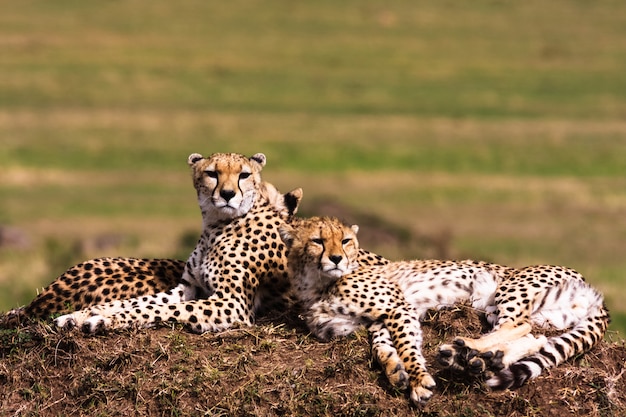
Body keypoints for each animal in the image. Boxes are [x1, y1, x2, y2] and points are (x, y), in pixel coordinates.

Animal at [280, 216, 608, 402]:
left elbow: (407, 346)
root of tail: (594, 291)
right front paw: (396, 371)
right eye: (317, 241)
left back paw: (462, 351)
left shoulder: (399, 306)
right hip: (524, 312)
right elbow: (383, 347)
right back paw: (488, 358)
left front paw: (419, 380)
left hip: (510, 288)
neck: (315, 283)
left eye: (346, 241)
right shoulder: (378, 320)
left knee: (519, 325)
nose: (336, 258)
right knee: (535, 337)